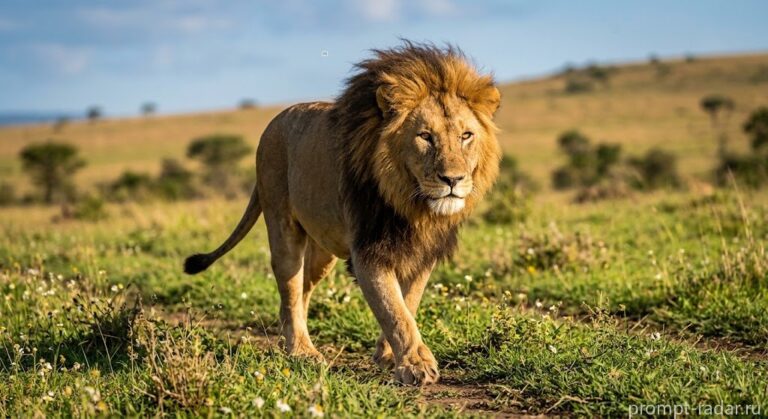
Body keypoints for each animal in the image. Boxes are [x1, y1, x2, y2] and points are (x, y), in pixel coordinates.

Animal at [184, 42, 501, 385]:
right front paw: (415, 364)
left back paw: (289, 342)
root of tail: (274, 122)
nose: (453, 180)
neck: (412, 205)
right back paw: (301, 350)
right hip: (282, 225)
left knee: (300, 291)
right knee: (290, 287)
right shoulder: (368, 252)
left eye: (466, 136)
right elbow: (394, 310)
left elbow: (408, 302)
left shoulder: (424, 253)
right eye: (425, 136)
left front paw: (389, 355)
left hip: (323, 253)